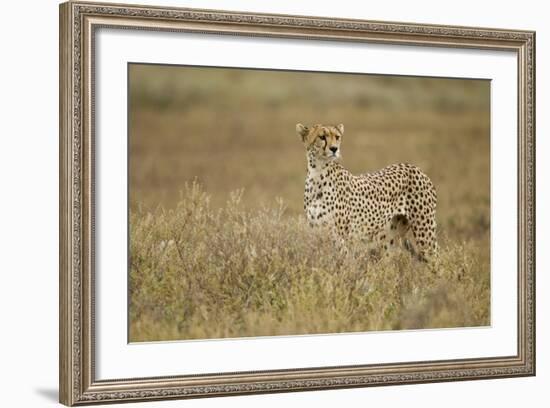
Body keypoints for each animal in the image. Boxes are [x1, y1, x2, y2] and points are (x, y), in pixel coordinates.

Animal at [298, 122, 440, 262]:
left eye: (337, 137)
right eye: (322, 137)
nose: (334, 149)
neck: (318, 173)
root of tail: (416, 168)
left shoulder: (340, 238)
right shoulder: (316, 232)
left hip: (424, 233)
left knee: (437, 258)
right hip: (389, 237)